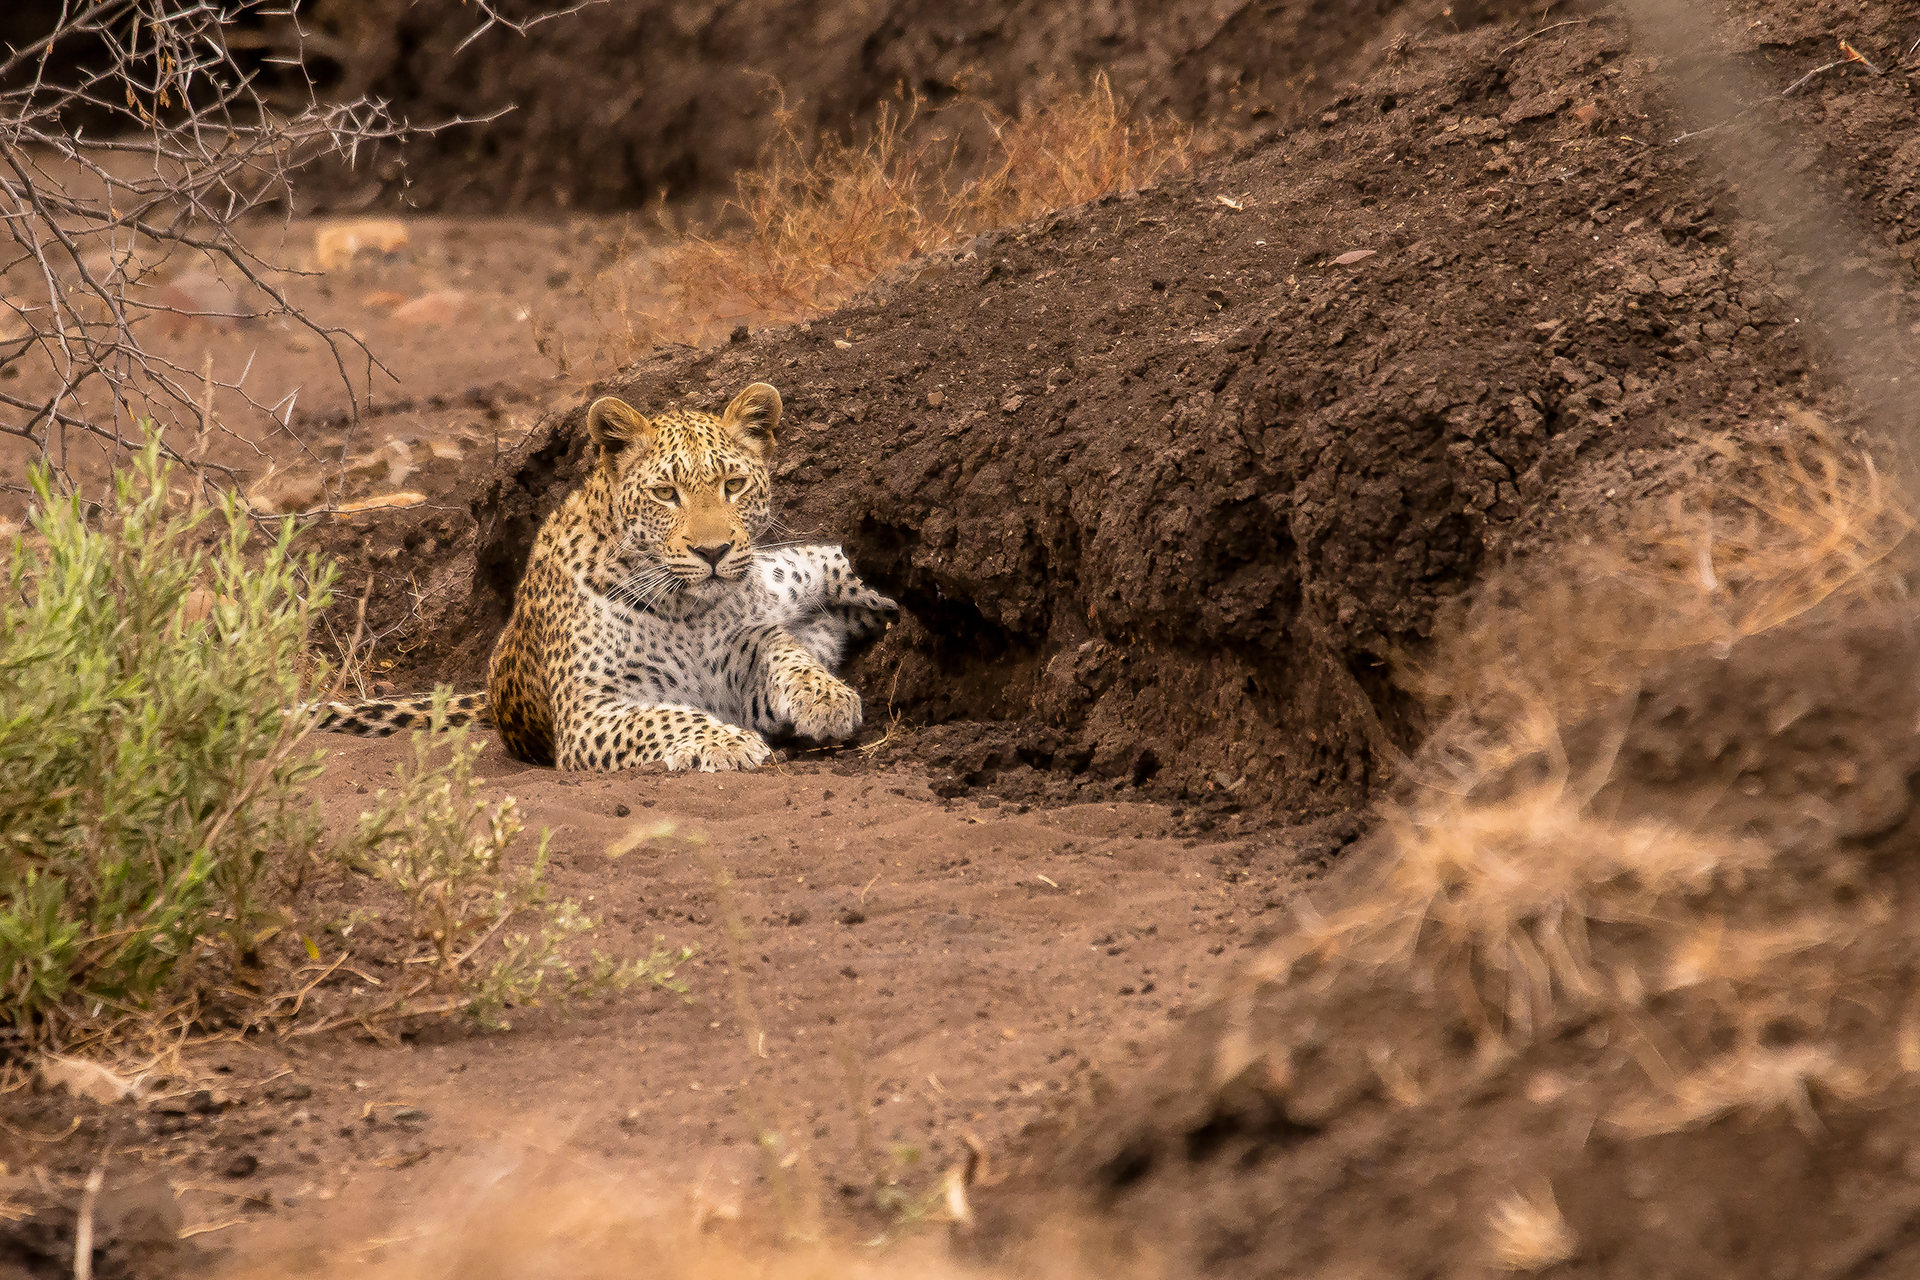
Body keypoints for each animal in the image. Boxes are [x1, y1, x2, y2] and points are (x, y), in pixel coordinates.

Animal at [314, 382, 896, 771]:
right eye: (666, 493)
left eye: (732, 485)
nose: (713, 551)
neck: (687, 610)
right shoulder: (591, 711)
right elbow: (665, 717)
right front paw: (724, 742)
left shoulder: (744, 644)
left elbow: (782, 650)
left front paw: (826, 697)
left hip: (793, 569)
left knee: (834, 564)